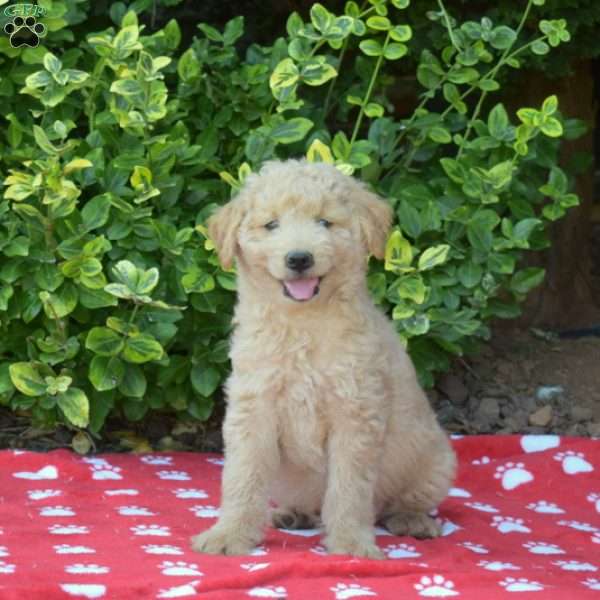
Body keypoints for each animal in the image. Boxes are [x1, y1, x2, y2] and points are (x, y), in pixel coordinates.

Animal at [192, 158, 454, 556]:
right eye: (271, 224)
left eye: (325, 222)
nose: (299, 258)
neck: (303, 325)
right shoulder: (253, 406)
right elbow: (242, 477)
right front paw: (228, 534)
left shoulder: (355, 413)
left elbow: (349, 489)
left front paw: (350, 545)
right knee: (312, 505)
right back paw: (294, 514)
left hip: (436, 462)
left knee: (398, 503)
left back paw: (413, 521)